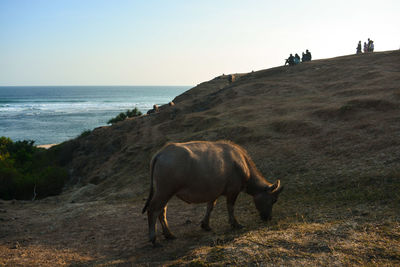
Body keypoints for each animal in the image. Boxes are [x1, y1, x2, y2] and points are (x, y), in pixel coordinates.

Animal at [142, 140, 282, 247]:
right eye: (273, 200)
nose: (268, 218)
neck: (241, 164)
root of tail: (161, 153)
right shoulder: (233, 191)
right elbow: (230, 207)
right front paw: (235, 224)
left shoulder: (214, 192)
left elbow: (210, 207)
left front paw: (206, 225)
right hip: (164, 191)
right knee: (153, 210)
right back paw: (154, 239)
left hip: (164, 192)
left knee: (162, 211)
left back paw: (169, 234)